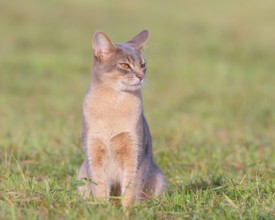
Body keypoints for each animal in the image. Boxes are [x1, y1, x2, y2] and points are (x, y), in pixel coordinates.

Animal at [78, 29, 168, 208]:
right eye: (125, 65)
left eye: (143, 65)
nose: (140, 77)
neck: (114, 104)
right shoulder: (93, 151)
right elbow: (100, 188)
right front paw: (102, 209)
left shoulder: (134, 152)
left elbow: (130, 189)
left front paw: (128, 210)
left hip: (159, 178)